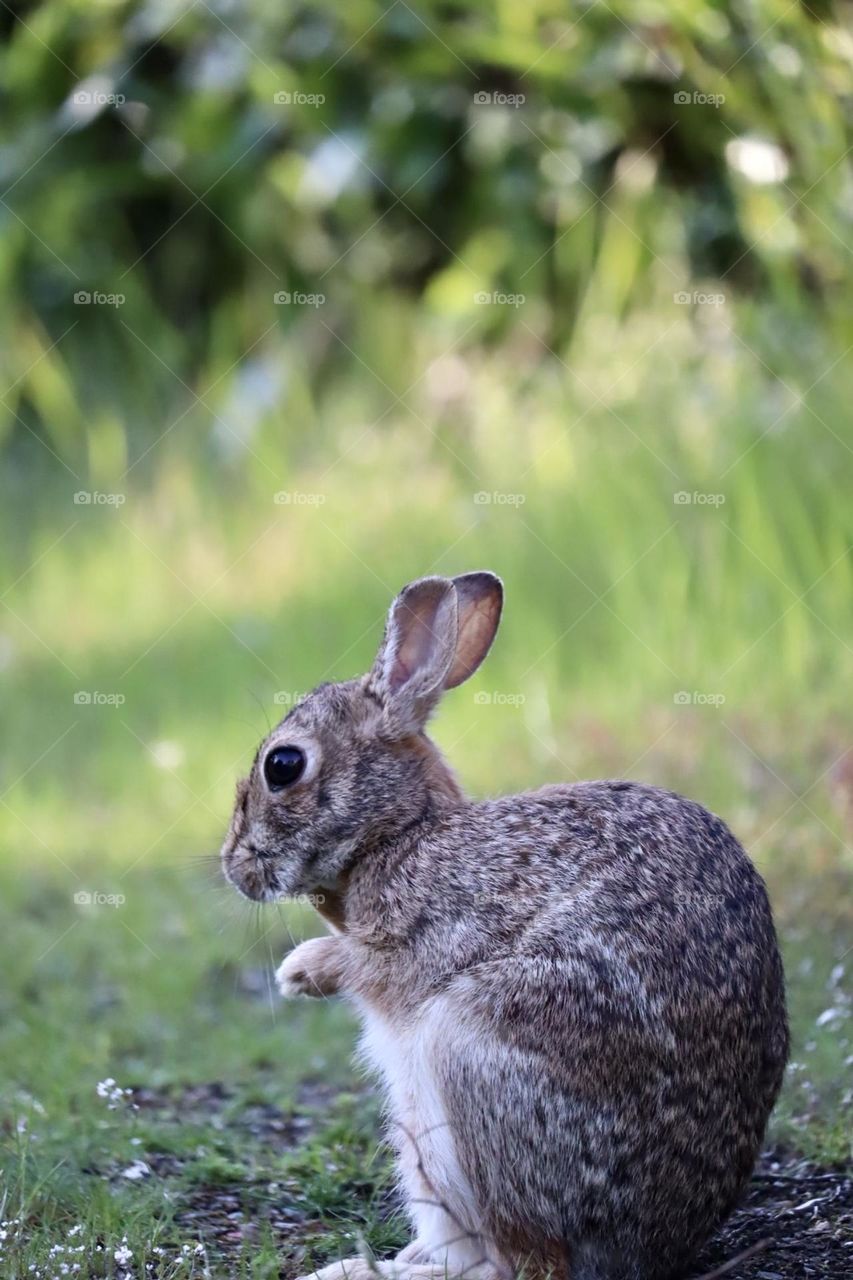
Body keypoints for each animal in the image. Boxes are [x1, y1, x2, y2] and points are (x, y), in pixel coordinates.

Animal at [219, 573, 783, 1280]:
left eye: (283, 765)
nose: (233, 866)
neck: (400, 834)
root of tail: (653, 1247)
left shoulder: (435, 926)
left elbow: (367, 959)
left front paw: (299, 971)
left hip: (476, 1055)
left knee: (523, 1262)